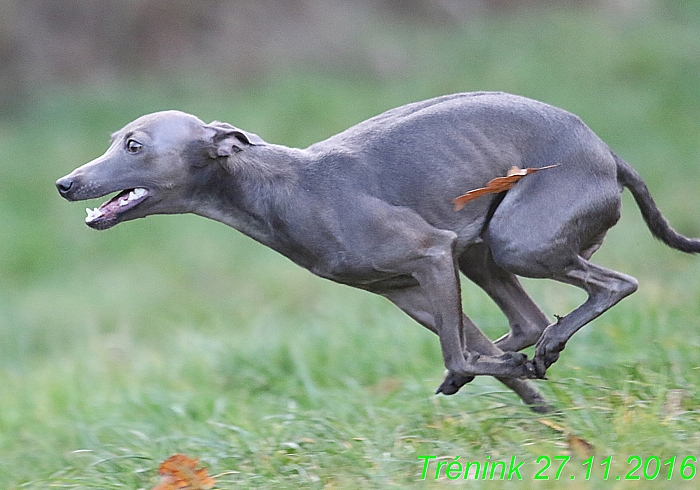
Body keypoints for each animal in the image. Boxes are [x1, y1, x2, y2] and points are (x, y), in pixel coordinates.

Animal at [56, 91, 700, 410]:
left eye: (134, 145)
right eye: (113, 140)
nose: (65, 183)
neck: (280, 186)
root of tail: (607, 153)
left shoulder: (431, 253)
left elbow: (458, 356)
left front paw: (508, 378)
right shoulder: (404, 289)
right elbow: (469, 353)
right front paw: (544, 412)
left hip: (521, 241)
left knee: (612, 287)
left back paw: (545, 348)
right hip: (482, 251)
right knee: (527, 321)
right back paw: (535, 355)